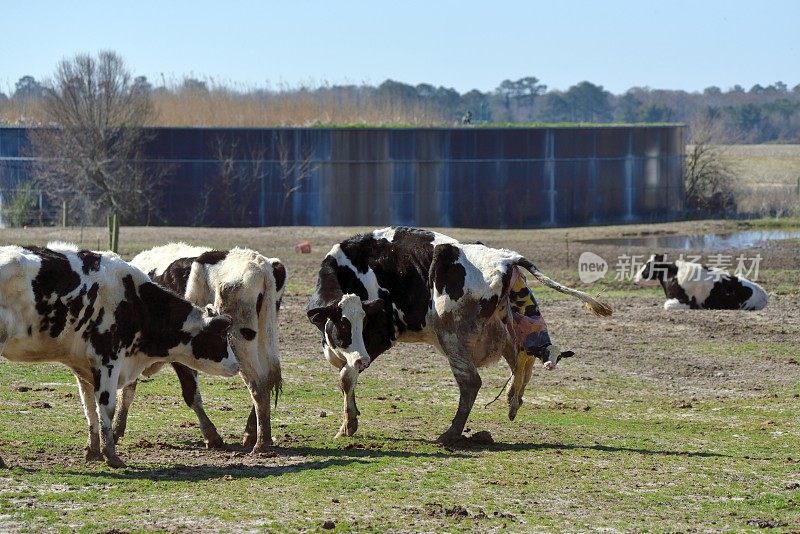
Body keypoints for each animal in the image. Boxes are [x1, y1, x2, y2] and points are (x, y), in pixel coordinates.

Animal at [0, 245, 238, 472]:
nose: (236, 366)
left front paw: (93, 451)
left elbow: (90, 409)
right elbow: (106, 407)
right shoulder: (108, 360)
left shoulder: (84, 366)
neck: (135, 302)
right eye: (220, 336)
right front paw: (111, 455)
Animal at [111, 245, 288, 454]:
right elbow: (127, 392)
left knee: (258, 384)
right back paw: (252, 434)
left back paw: (261, 443)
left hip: (240, 343)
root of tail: (259, 263)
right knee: (268, 378)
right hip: (264, 338)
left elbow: (190, 394)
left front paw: (211, 436)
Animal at [304, 228, 608, 446]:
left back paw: (450, 434)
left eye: (364, 323)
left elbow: (345, 377)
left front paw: (348, 426)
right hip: (501, 327)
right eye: (342, 325)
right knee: (521, 357)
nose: (362, 359)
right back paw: (512, 402)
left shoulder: (380, 335)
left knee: (472, 381)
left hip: (451, 337)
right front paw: (350, 419)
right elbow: (346, 378)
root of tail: (504, 258)